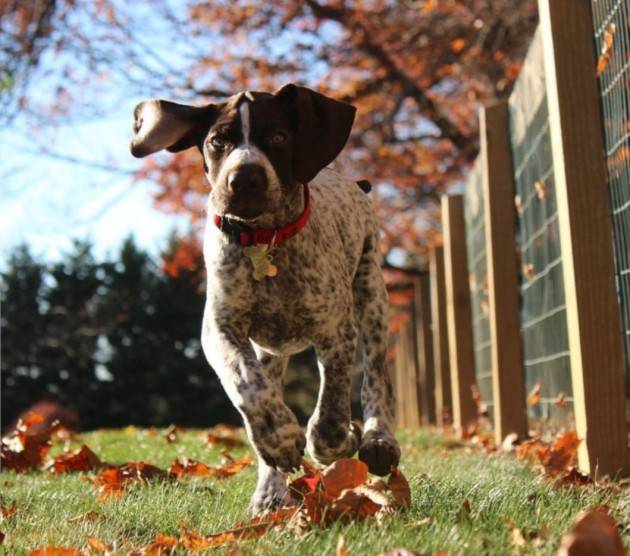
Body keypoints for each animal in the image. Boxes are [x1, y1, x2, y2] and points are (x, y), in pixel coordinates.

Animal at [131, 84, 402, 516]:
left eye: (277, 137)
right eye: (217, 141)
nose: (244, 179)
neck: (265, 241)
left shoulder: (336, 331)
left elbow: (331, 408)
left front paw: (340, 438)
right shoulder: (220, 329)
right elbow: (247, 384)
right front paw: (280, 439)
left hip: (372, 293)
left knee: (376, 376)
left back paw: (377, 440)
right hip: (272, 351)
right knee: (265, 387)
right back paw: (270, 491)